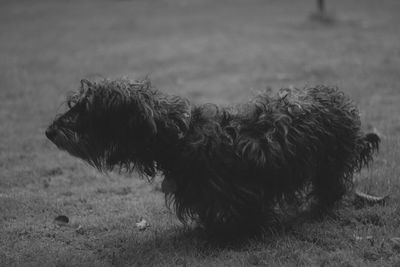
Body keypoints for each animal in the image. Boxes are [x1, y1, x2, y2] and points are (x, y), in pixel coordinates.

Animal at [45, 78, 380, 238]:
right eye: (75, 104)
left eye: (86, 109)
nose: (49, 131)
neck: (180, 136)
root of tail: (338, 97)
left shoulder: (242, 192)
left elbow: (248, 213)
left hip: (329, 162)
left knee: (332, 185)